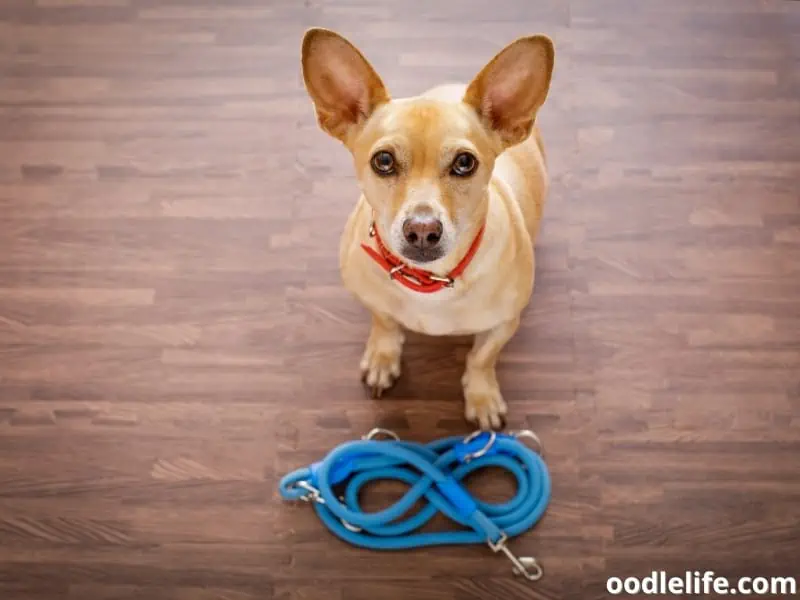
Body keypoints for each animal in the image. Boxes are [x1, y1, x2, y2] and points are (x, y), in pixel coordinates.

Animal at [300, 29, 556, 432]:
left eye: (465, 163)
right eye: (383, 161)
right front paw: (383, 357)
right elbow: (385, 324)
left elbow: (481, 358)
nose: (422, 229)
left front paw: (481, 397)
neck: (428, 281)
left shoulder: (503, 325)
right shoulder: (372, 300)